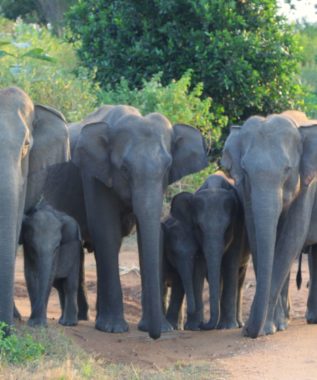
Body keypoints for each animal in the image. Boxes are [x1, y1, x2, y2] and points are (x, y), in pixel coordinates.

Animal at [44, 104, 207, 338]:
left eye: (167, 168)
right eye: (124, 169)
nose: (155, 335)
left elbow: (149, 234)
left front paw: (159, 328)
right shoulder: (93, 174)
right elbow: (106, 231)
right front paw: (113, 329)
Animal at [221, 110, 316, 338]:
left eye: (287, 169)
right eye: (245, 169)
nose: (246, 330)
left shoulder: (307, 186)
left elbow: (292, 238)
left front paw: (265, 329)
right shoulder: (246, 190)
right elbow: (256, 234)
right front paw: (270, 327)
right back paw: (285, 320)